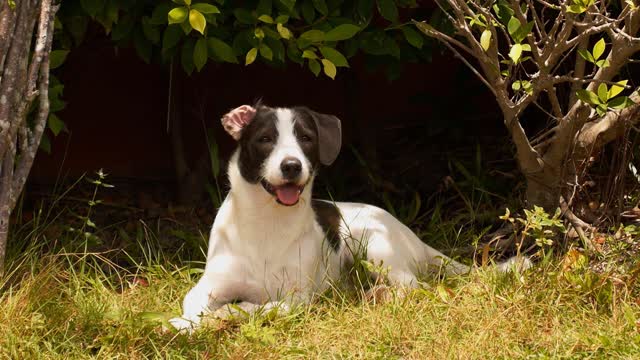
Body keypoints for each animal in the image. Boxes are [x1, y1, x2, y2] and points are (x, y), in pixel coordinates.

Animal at [168, 102, 528, 332]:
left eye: (306, 139)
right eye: (265, 139)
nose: (292, 166)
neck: (266, 223)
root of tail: (413, 237)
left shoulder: (297, 298)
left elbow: (255, 308)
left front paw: (229, 313)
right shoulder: (209, 286)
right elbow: (192, 306)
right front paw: (186, 325)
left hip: (375, 244)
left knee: (414, 286)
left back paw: (379, 295)